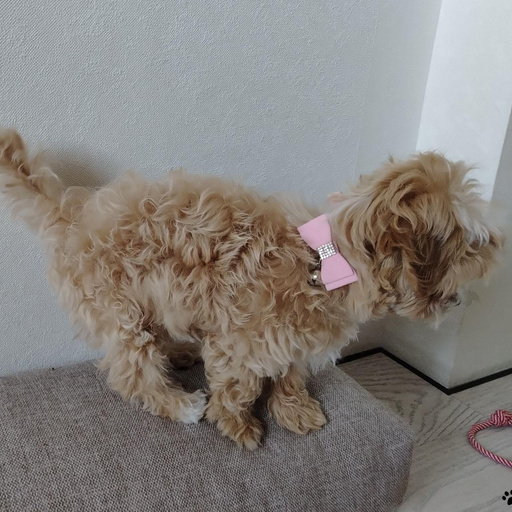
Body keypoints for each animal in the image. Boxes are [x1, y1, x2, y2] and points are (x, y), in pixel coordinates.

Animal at [0, 129, 503, 449]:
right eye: (473, 243)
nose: (498, 247)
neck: (324, 262)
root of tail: (73, 216)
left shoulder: (290, 342)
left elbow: (291, 373)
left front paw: (294, 409)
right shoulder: (239, 341)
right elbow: (238, 386)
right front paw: (237, 425)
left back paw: (180, 354)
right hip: (120, 313)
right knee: (131, 374)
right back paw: (179, 404)